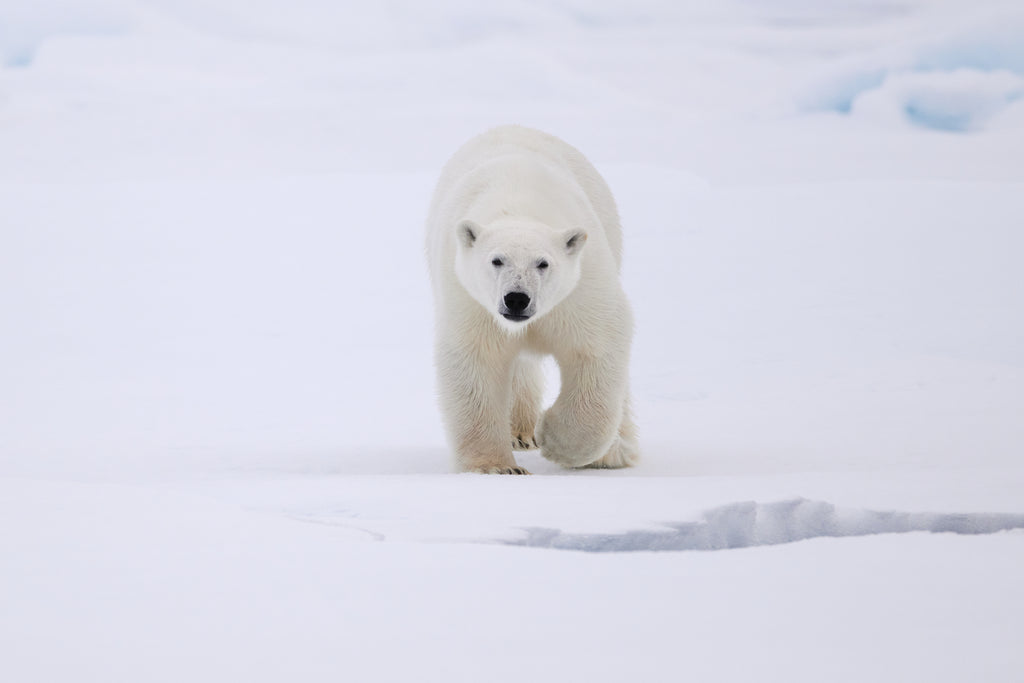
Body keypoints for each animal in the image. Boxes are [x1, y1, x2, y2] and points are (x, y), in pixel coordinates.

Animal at [426, 125, 638, 474]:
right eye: (496, 260)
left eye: (543, 263)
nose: (516, 299)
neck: (518, 206)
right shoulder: (470, 299)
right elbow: (476, 361)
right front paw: (496, 467)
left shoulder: (580, 289)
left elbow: (598, 345)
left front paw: (555, 440)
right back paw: (520, 433)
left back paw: (613, 452)